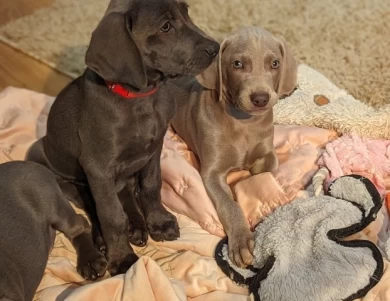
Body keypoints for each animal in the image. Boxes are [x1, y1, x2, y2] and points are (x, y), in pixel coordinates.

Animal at [170, 27, 296, 266]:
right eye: (237, 64)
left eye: (275, 63)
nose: (260, 98)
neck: (243, 121)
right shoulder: (211, 172)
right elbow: (230, 205)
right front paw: (241, 241)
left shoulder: (269, 152)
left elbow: (266, 168)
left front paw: (247, 172)